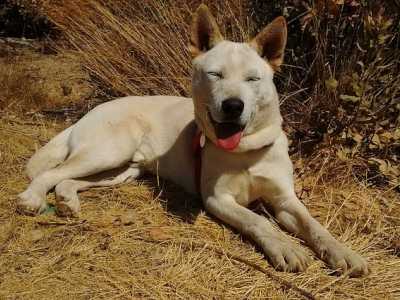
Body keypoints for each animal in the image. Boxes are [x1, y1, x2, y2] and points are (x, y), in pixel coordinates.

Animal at [18, 4, 368, 276]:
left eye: (253, 79)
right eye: (215, 75)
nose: (233, 106)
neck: (247, 151)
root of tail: (92, 110)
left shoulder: (284, 199)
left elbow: (314, 225)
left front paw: (343, 252)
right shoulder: (216, 199)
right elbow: (258, 221)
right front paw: (285, 247)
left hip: (121, 171)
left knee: (69, 179)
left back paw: (67, 200)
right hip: (108, 151)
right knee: (51, 173)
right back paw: (32, 198)